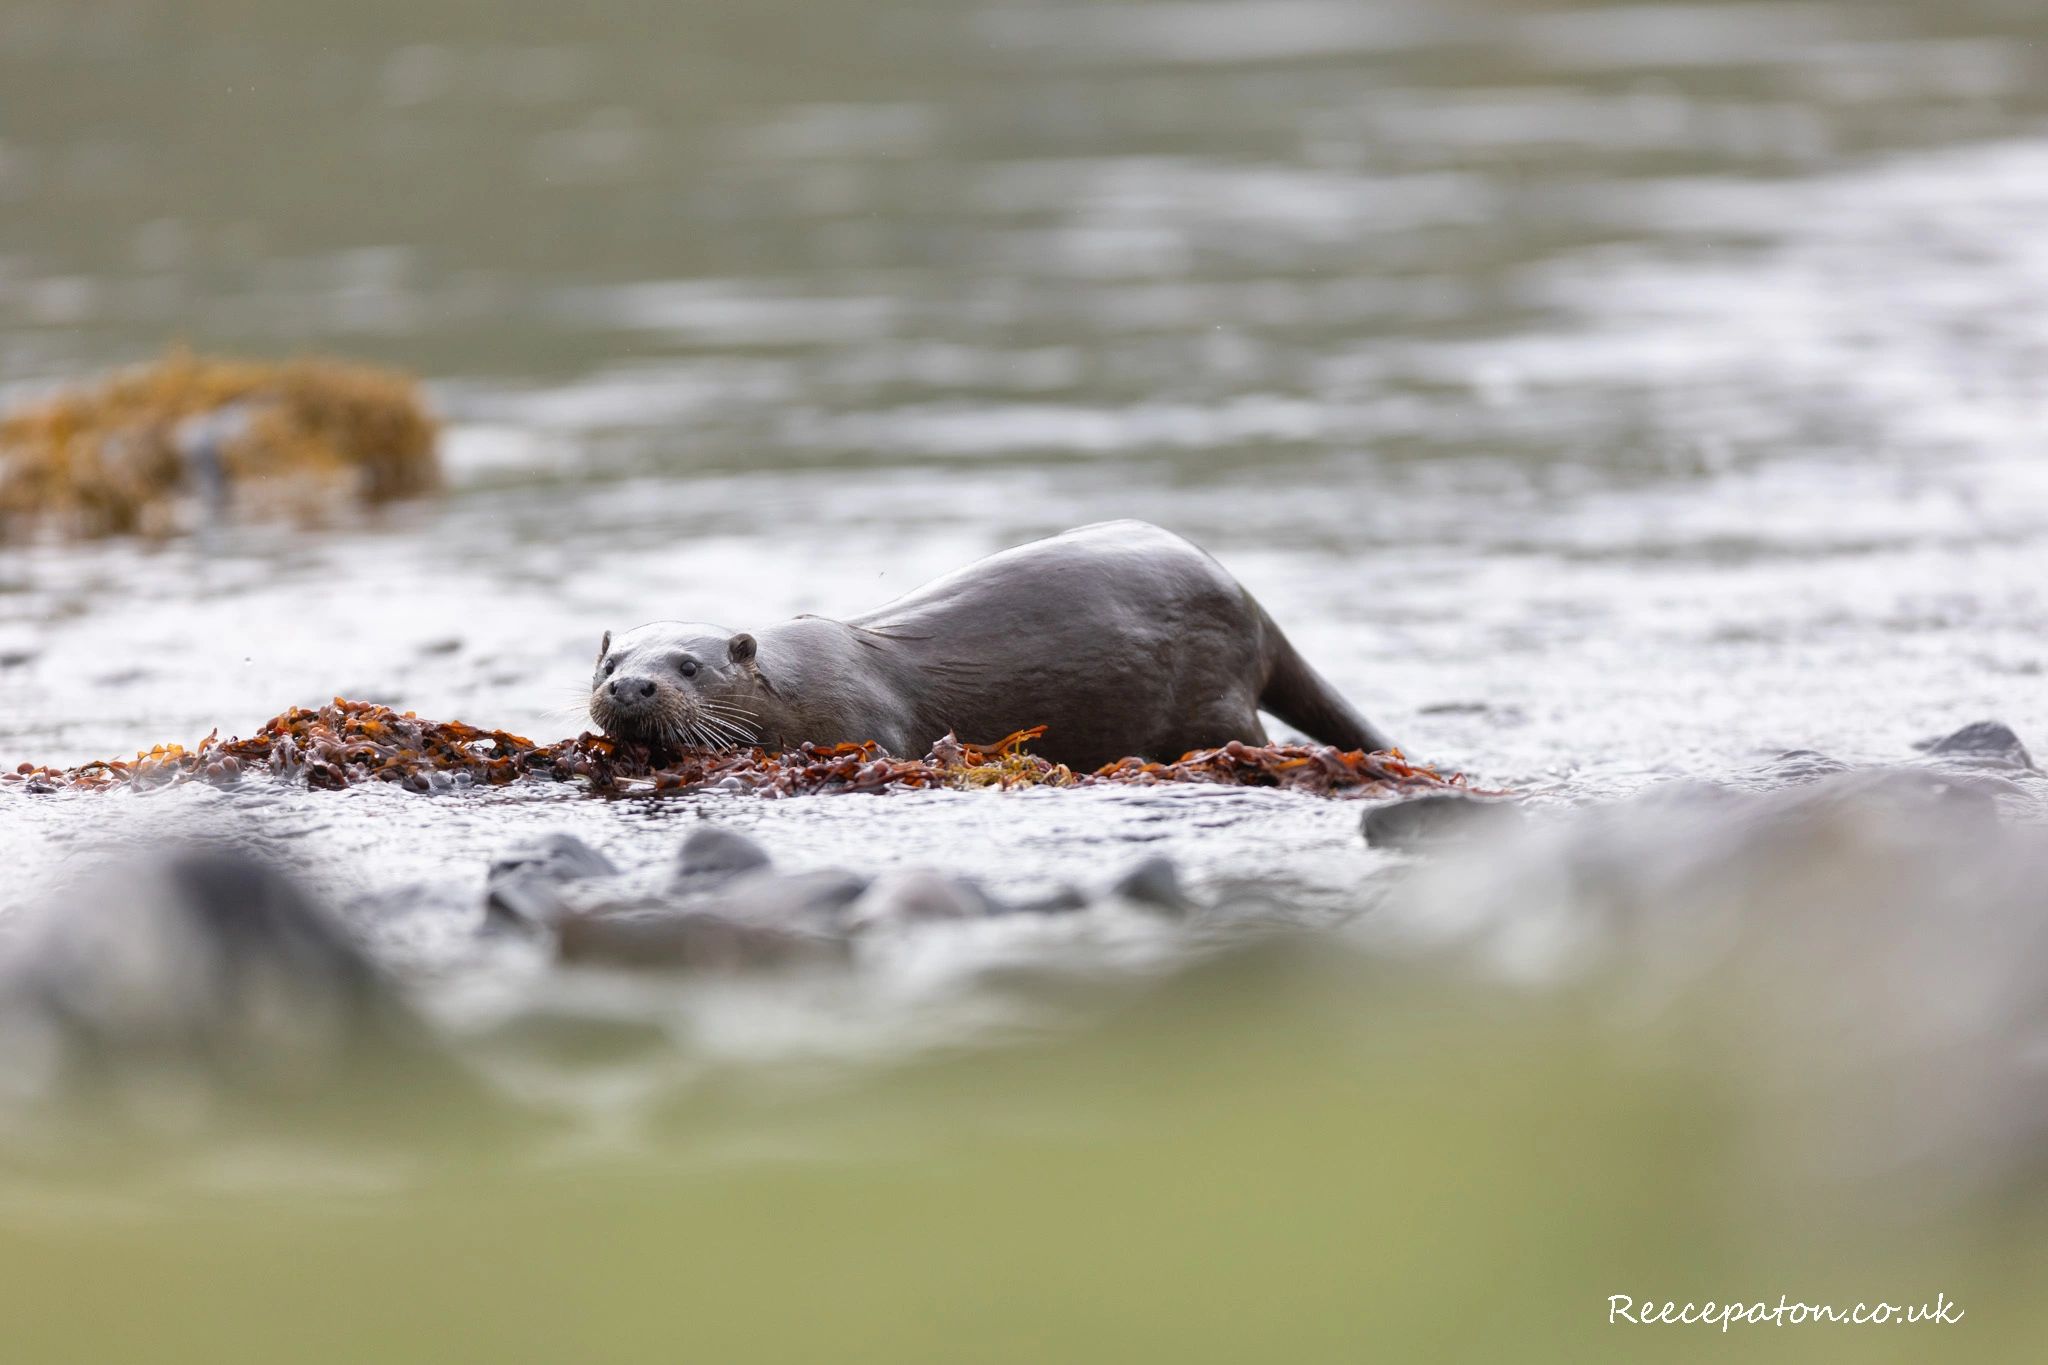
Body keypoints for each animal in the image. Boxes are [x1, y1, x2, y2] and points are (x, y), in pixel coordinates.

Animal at [588, 519, 1397, 772]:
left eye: (689, 666)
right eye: (609, 663)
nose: (631, 687)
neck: (800, 685)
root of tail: (1248, 601)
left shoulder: (866, 725)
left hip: (1215, 699)